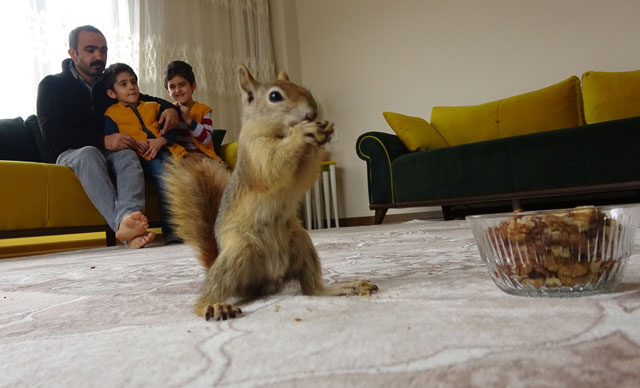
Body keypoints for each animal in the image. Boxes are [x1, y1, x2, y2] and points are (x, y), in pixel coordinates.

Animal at [162, 65, 378, 320]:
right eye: (275, 96)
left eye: (302, 88)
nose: (312, 112)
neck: (279, 133)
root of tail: (268, 280)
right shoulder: (256, 152)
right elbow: (274, 164)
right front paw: (302, 133)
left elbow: (304, 174)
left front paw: (324, 132)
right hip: (239, 251)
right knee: (212, 290)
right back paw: (213, 305)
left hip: (301, 241)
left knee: (313, 289)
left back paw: (346, 287)